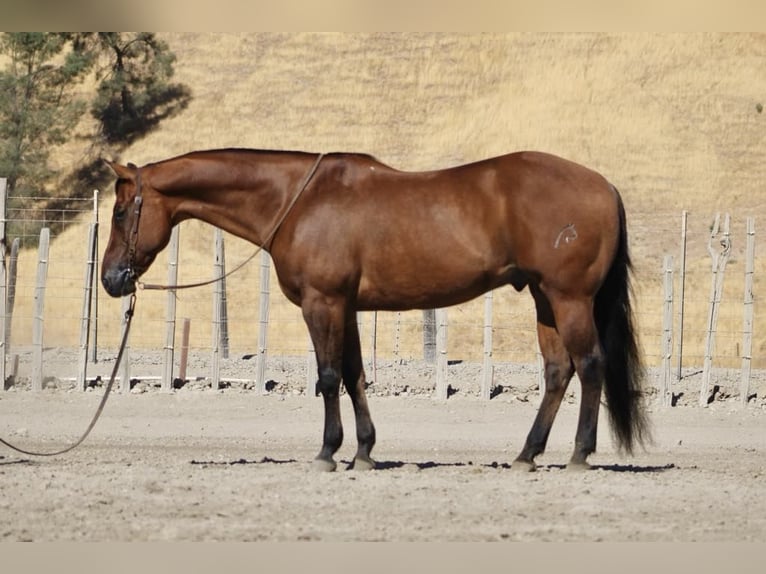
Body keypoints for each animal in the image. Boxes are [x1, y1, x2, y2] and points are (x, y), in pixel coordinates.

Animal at [102, 148, 652, 472]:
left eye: (119, 211)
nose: (111, 279)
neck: (299, 199)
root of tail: (605, 187)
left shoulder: (322, 303)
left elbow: (327, 377)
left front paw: (328, 452)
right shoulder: (344, 307)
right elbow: (353, 376)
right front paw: (363, 451)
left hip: (568, 298)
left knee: (590, 366)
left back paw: (579, 454)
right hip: (544, 298)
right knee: (558, 372)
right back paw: (526, 454)